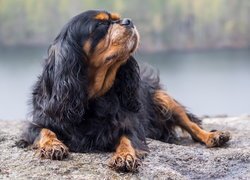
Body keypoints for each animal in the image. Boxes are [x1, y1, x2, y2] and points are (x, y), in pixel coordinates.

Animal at [17, 9, 231, 172]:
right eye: (100, 25)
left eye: (116, 19)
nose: (129, 21)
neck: (92, 96)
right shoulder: (39, 120)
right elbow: (43, 130)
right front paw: (53, 145)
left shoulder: (130, 125)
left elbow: (126, 139)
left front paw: (125, 156)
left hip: (163, 97)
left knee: (192, 125)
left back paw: (213, 136)